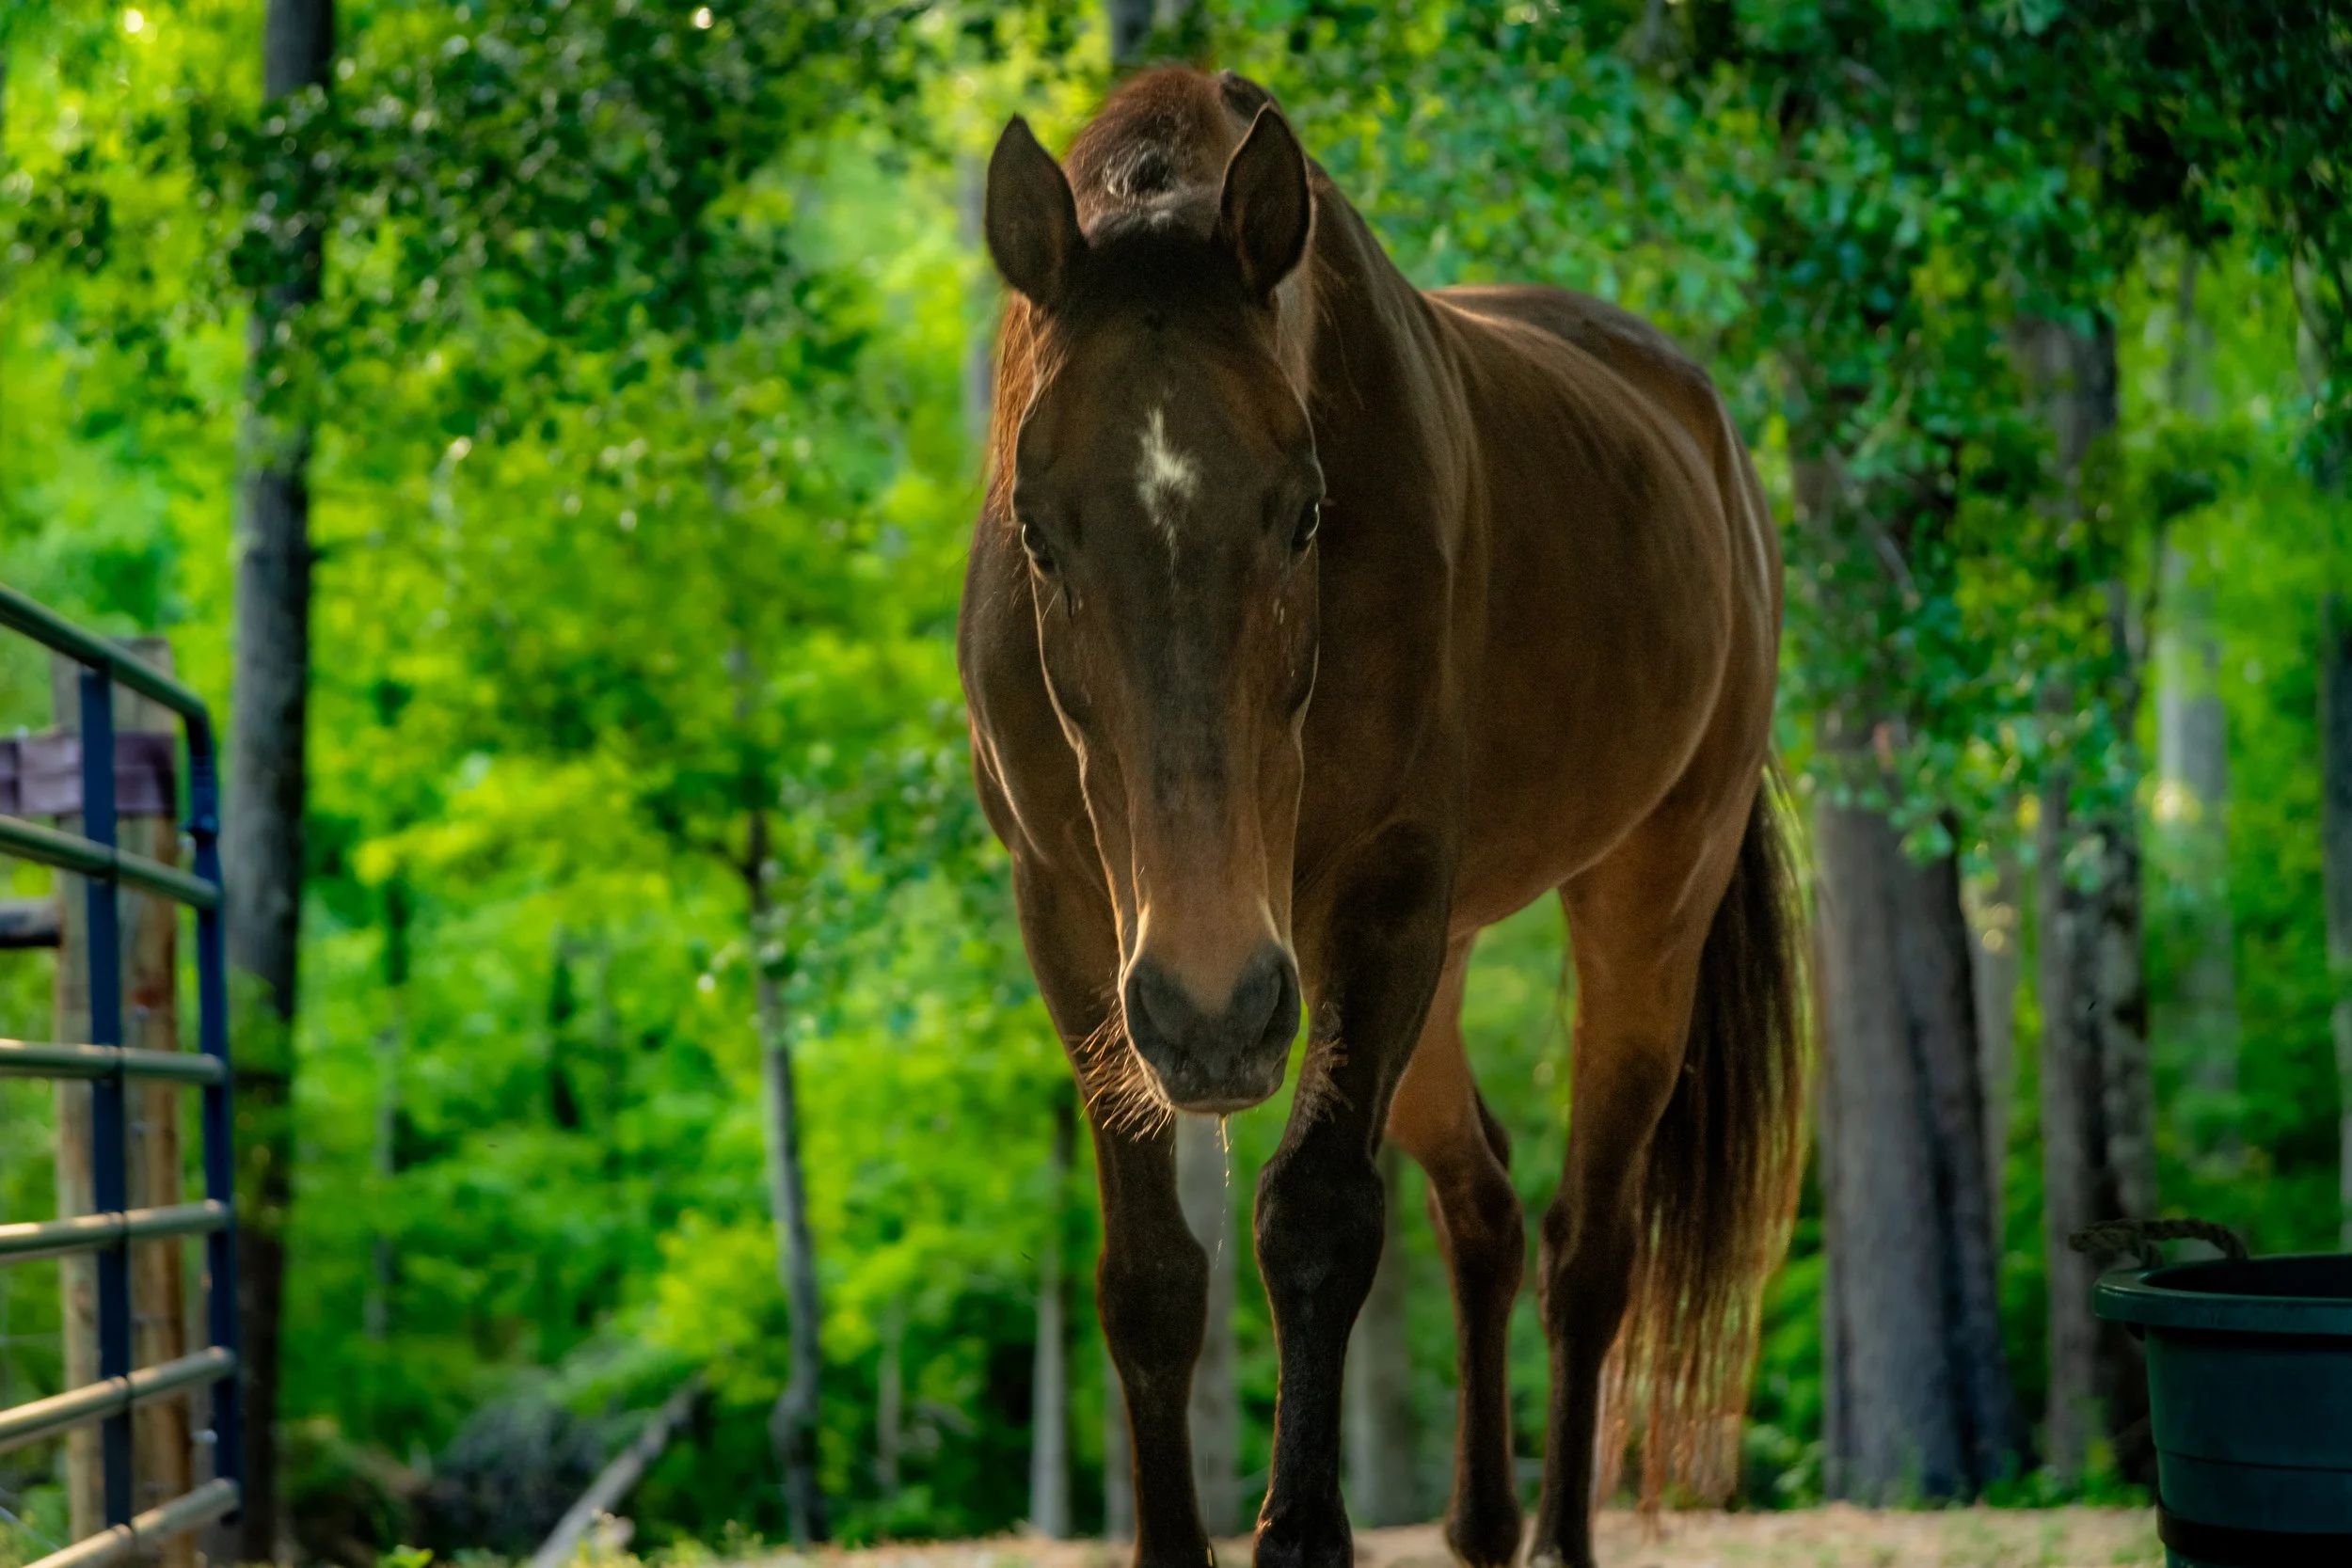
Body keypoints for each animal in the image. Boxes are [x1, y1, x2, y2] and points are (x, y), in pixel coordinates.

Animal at [957, 67, 1806, 1568]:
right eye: (1040, 531)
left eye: (1305, 515)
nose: (1216, 1012)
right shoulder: (1070, 915)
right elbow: (1151, 1276)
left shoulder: (1385, 896)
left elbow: (1316, 1219)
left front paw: (1302, 1529)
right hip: (1413, 972)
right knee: (1484, 1207)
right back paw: (1479, 1518)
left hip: (1645, 903)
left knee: (1588, 1248)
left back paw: (1558, 1533)